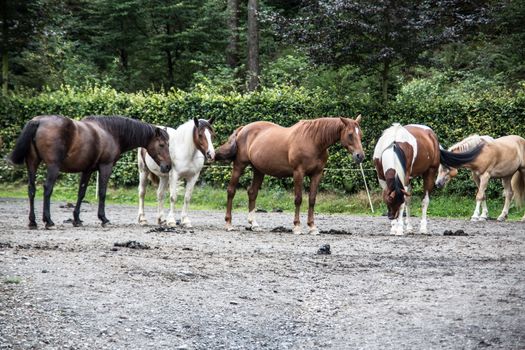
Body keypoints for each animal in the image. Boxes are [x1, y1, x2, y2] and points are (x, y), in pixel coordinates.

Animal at [7, 115, 172, 230]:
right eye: (162, 145)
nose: (168, 166)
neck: (110, 132)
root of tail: (38, 121)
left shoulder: (87, 170)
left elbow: (81, 193)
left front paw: (76, 219)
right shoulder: (105, 167)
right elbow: (102, 193)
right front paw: (103, 219)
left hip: (32, 164)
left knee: (31, 190)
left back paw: (32, 222)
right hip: (53, 167)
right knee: (47, 189)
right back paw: (49, 221)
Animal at [215, 115, 362, 235]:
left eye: (360, 134)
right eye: (350, 134)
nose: (360, 156)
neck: (313, 140)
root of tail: (243, 129)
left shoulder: (316, 174)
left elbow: (312, 200)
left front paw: (312, 227)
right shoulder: (298, 173)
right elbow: (298, 199)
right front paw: (297, 227)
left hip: (259, 170)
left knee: (252, 192)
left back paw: (254, 224)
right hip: (239, 166)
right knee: (231, 191)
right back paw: (228, 224)